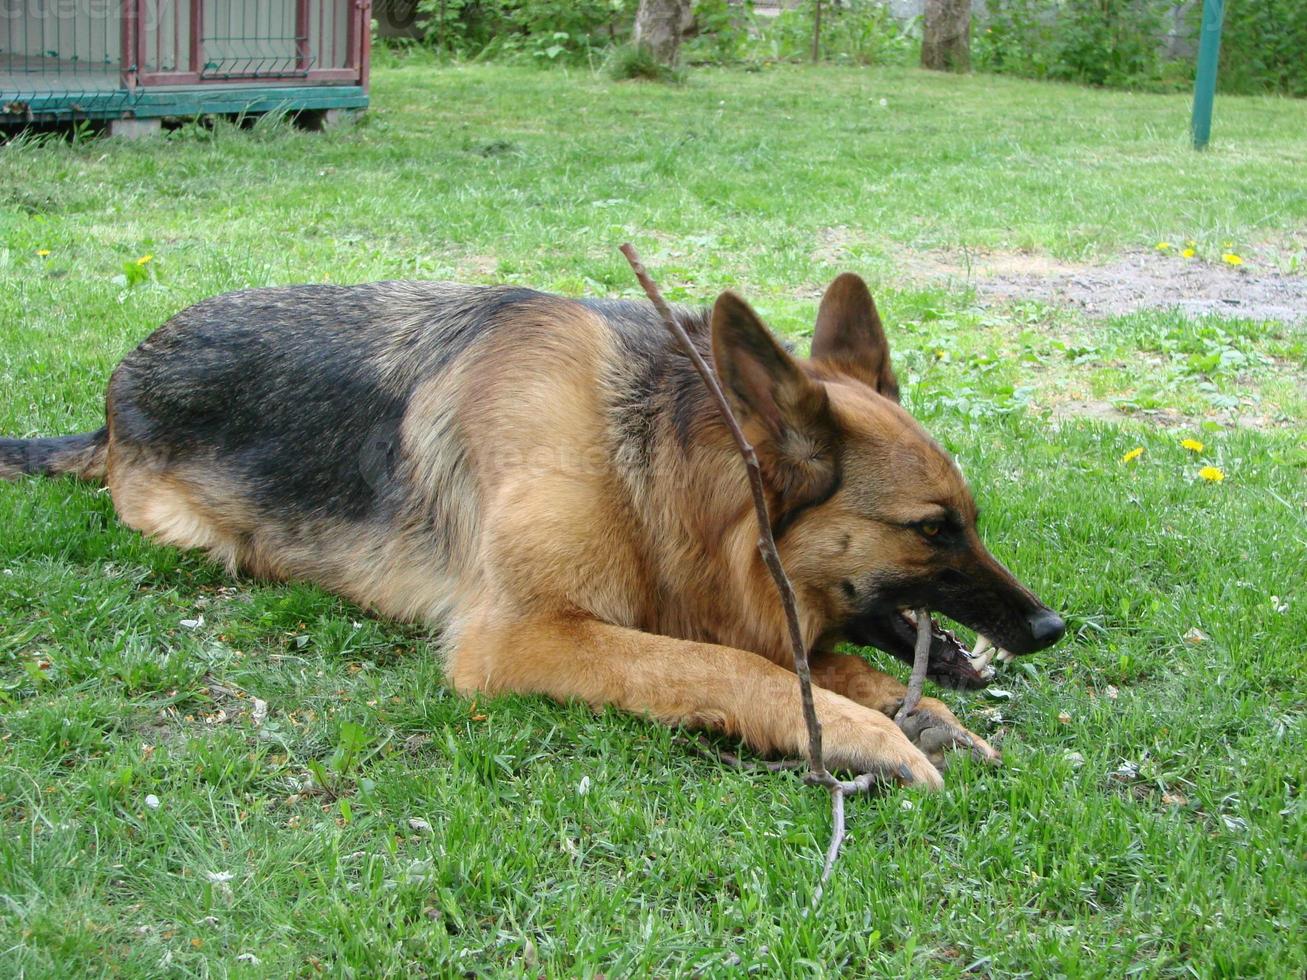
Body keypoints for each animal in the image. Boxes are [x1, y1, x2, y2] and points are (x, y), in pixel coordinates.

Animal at [0, 274, 1061, 789]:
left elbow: (809, 657)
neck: (642, 467)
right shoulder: (525, 635)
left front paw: (912, 711)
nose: (1050, 629)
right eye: (932, 529)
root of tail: (116, 392)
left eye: (969, 521)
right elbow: (727, 668)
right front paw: (866, 735)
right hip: (198, 538)